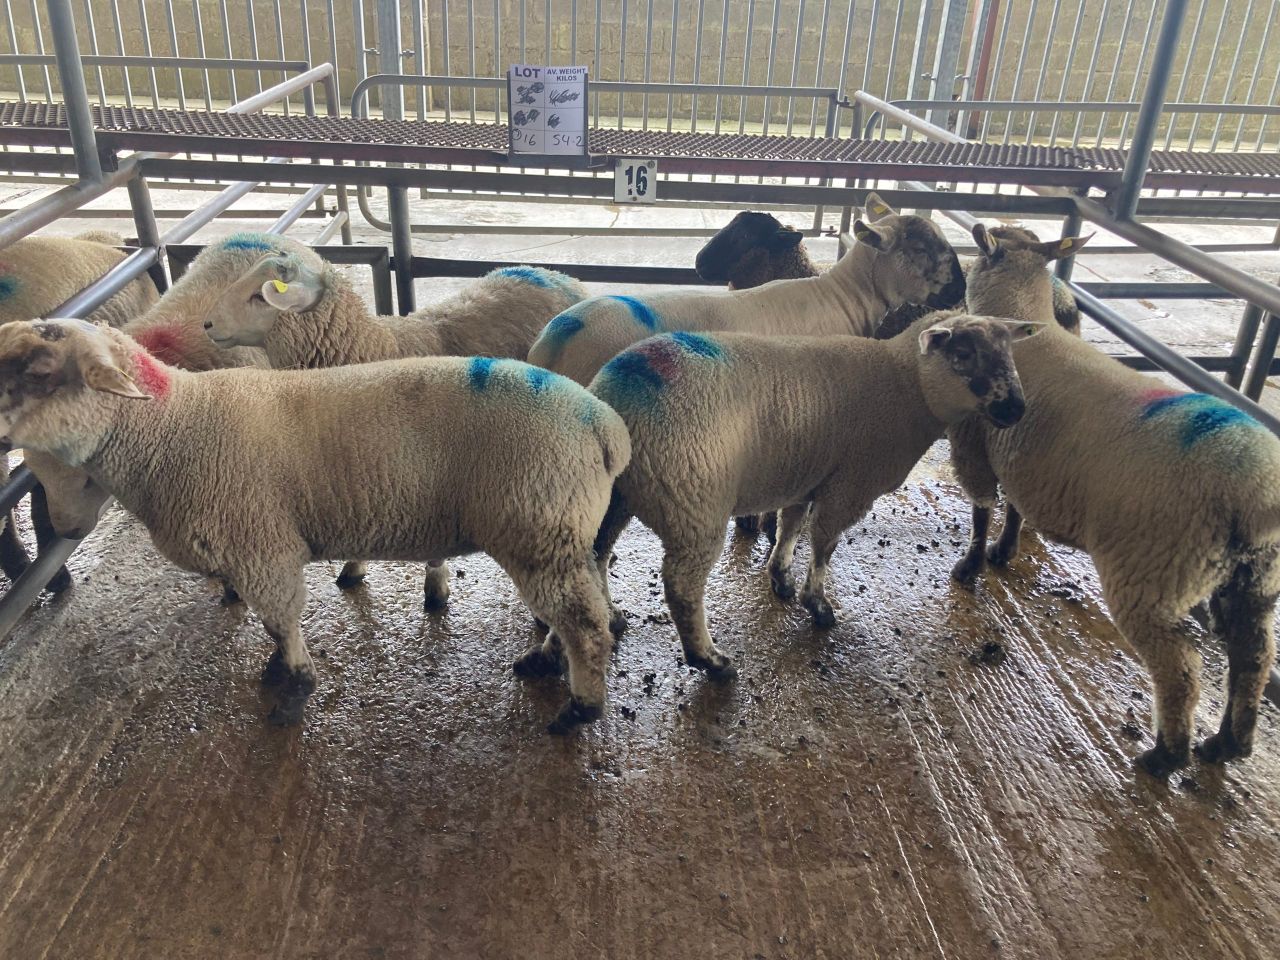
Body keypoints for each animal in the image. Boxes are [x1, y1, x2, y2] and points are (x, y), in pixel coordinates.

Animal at [0, 318, 630, 734]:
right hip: (558, 533)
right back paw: (547, 661)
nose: (67, 528)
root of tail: (603, 426)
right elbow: (271, 624)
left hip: (537, 524)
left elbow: (281, 621)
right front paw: (277, 670)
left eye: (40, 371)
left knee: (585, 625)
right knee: (577, 607)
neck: (173, 429)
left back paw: (579, 709)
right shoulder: (252, 553)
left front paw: (293, 688)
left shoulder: (262, 548)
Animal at [199, 244, 587, 604]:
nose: (206, 324)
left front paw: (436, 586)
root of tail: (552, 273)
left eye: (259, 295)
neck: (376, 349)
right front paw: (354, 567)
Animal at [515, 315, 1039, 687]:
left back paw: (598, 627)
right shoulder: (848, 485)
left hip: (612, 497)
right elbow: (824, 544)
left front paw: (781, 576)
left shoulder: (807, 475)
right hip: (693, 499)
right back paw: (711, 661)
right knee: (681, 587)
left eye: (1009, 350)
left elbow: (790, 525)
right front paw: (817, 605)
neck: (905, 386)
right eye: (964, 353)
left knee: (595, 556)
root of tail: (614, 395)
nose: (1016, 408)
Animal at [947, 221, 1280, 777]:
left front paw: (970, 566)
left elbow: (980, 512)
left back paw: (1166, 756)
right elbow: (1014, 509)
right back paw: (1228, 744)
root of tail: (1256, 493)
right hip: (1255, 577)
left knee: (1182, 664)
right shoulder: (1025, 460)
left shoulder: (975, 444)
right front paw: (1003, 552)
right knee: (1252, 655)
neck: (1030, 321)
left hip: (1152, 569)